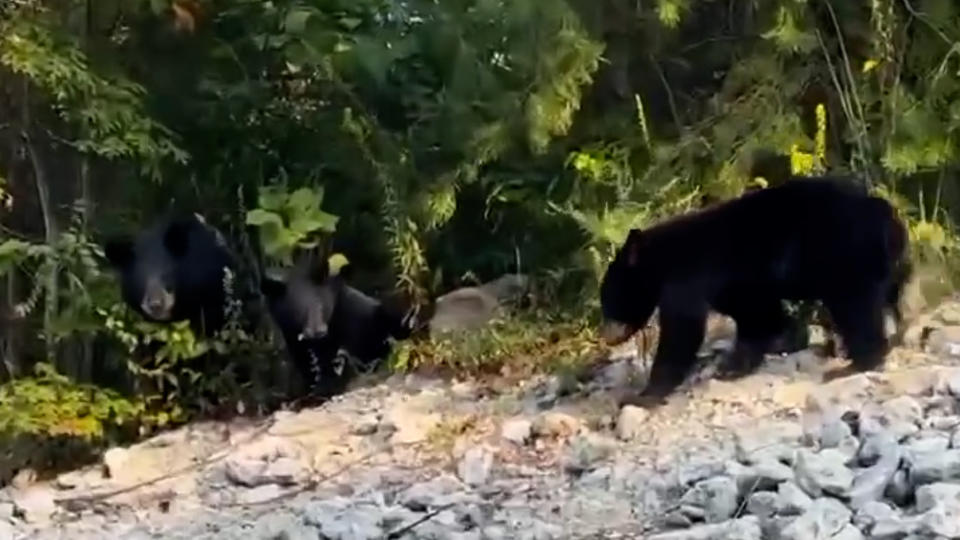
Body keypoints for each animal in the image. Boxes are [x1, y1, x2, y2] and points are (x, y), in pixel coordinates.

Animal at [260, 251, 414, 398]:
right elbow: (306, 364)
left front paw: (326, 387)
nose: (318, 331)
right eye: (297, 311)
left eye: (321, 304)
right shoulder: (293, 338)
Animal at [604, 175, 912, 408]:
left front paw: (644, 395)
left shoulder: (687, 279)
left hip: (844, 254)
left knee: (856, 307)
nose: (607, 336)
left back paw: (855, 364)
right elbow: (755, 312)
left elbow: (682, 331)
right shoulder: (736, 282)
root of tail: (887, 215)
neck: (661, 260)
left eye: (608, 300)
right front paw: (759, 351)